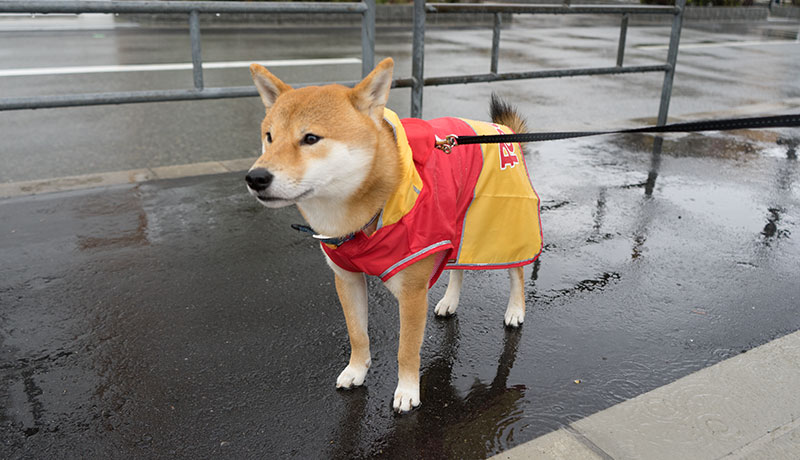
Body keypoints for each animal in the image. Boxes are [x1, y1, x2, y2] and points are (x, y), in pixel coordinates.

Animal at [245, 57, 544, 414]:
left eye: (311, 138)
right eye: (269, 137)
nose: (255, 177)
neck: (361, 218)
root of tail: (503, 131)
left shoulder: (412, 291)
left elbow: (406, 348)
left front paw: (408, 391)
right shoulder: (347, 278)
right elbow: (358, 334)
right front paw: (356, 370)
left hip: (500, 225)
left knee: (516, 270)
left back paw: (515, 310)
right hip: (457, 226)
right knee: (459, 268)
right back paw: (450, 301)